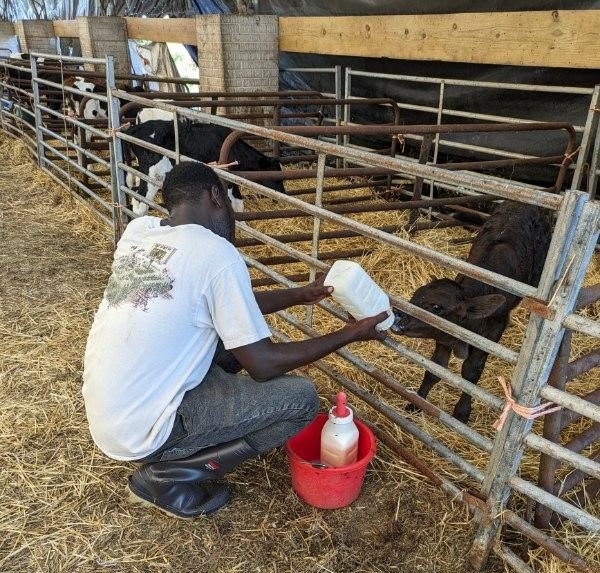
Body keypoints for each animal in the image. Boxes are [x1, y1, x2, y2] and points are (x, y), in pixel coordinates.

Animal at [123, 118, 284, 214]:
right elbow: (236, 204)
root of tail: (137, 127)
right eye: (277, 178)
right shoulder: (227, 178)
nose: (282, 194)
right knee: (140, 202)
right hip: (155, 173)